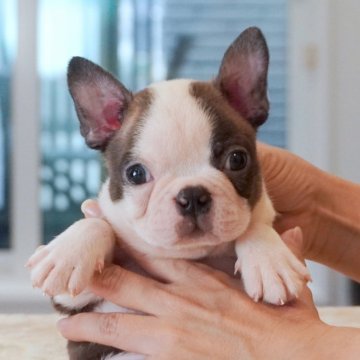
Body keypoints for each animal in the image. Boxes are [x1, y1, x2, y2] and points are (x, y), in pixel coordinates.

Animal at [27, 28, 310, 360]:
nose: (193, 196)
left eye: (237, 159)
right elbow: (98, 223)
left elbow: (255, 225)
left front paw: (269, 259)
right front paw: (67, 253)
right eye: (136, 174)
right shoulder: (78, 303)